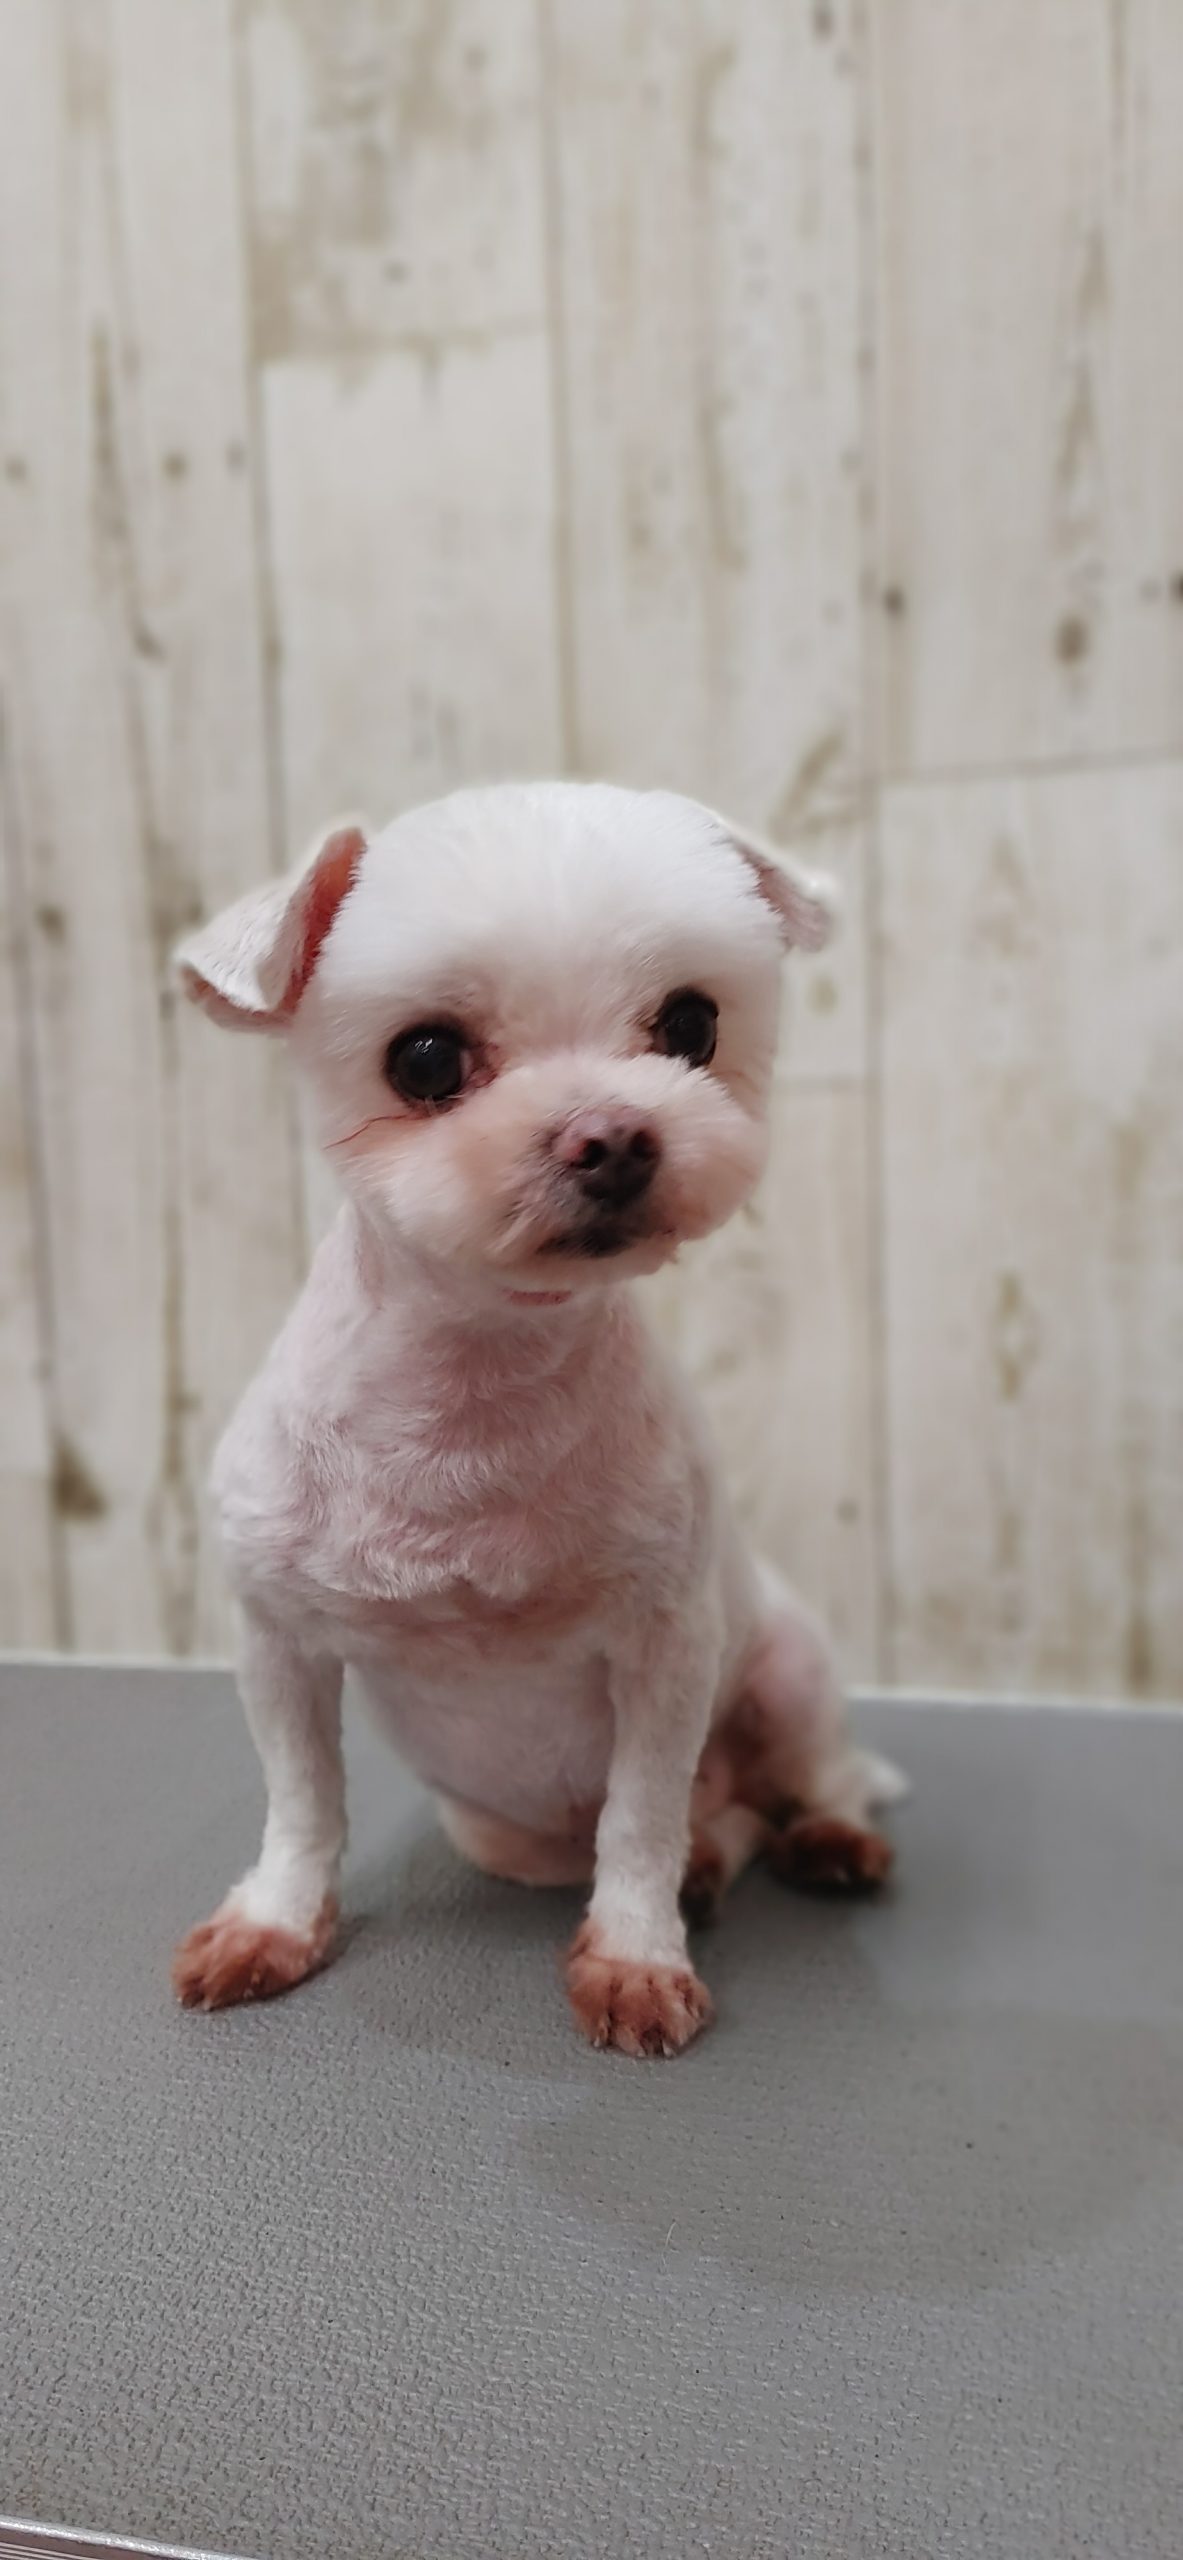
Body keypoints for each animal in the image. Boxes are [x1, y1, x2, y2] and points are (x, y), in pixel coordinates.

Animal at [171, 783, 901, 2057]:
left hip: (786, 1669)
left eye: (690, 1024)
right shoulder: (277, 1640)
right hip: (504, 1833)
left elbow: (640, 1823)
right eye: (423, 1057)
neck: (474, 1390)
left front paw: (636, 1957)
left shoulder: (667, 1651)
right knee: (719, 1822)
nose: (612, 1136)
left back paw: (827, 1837)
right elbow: (302, 1805)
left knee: (815, 1774)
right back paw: (719, 1861)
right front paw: (274, 1923)